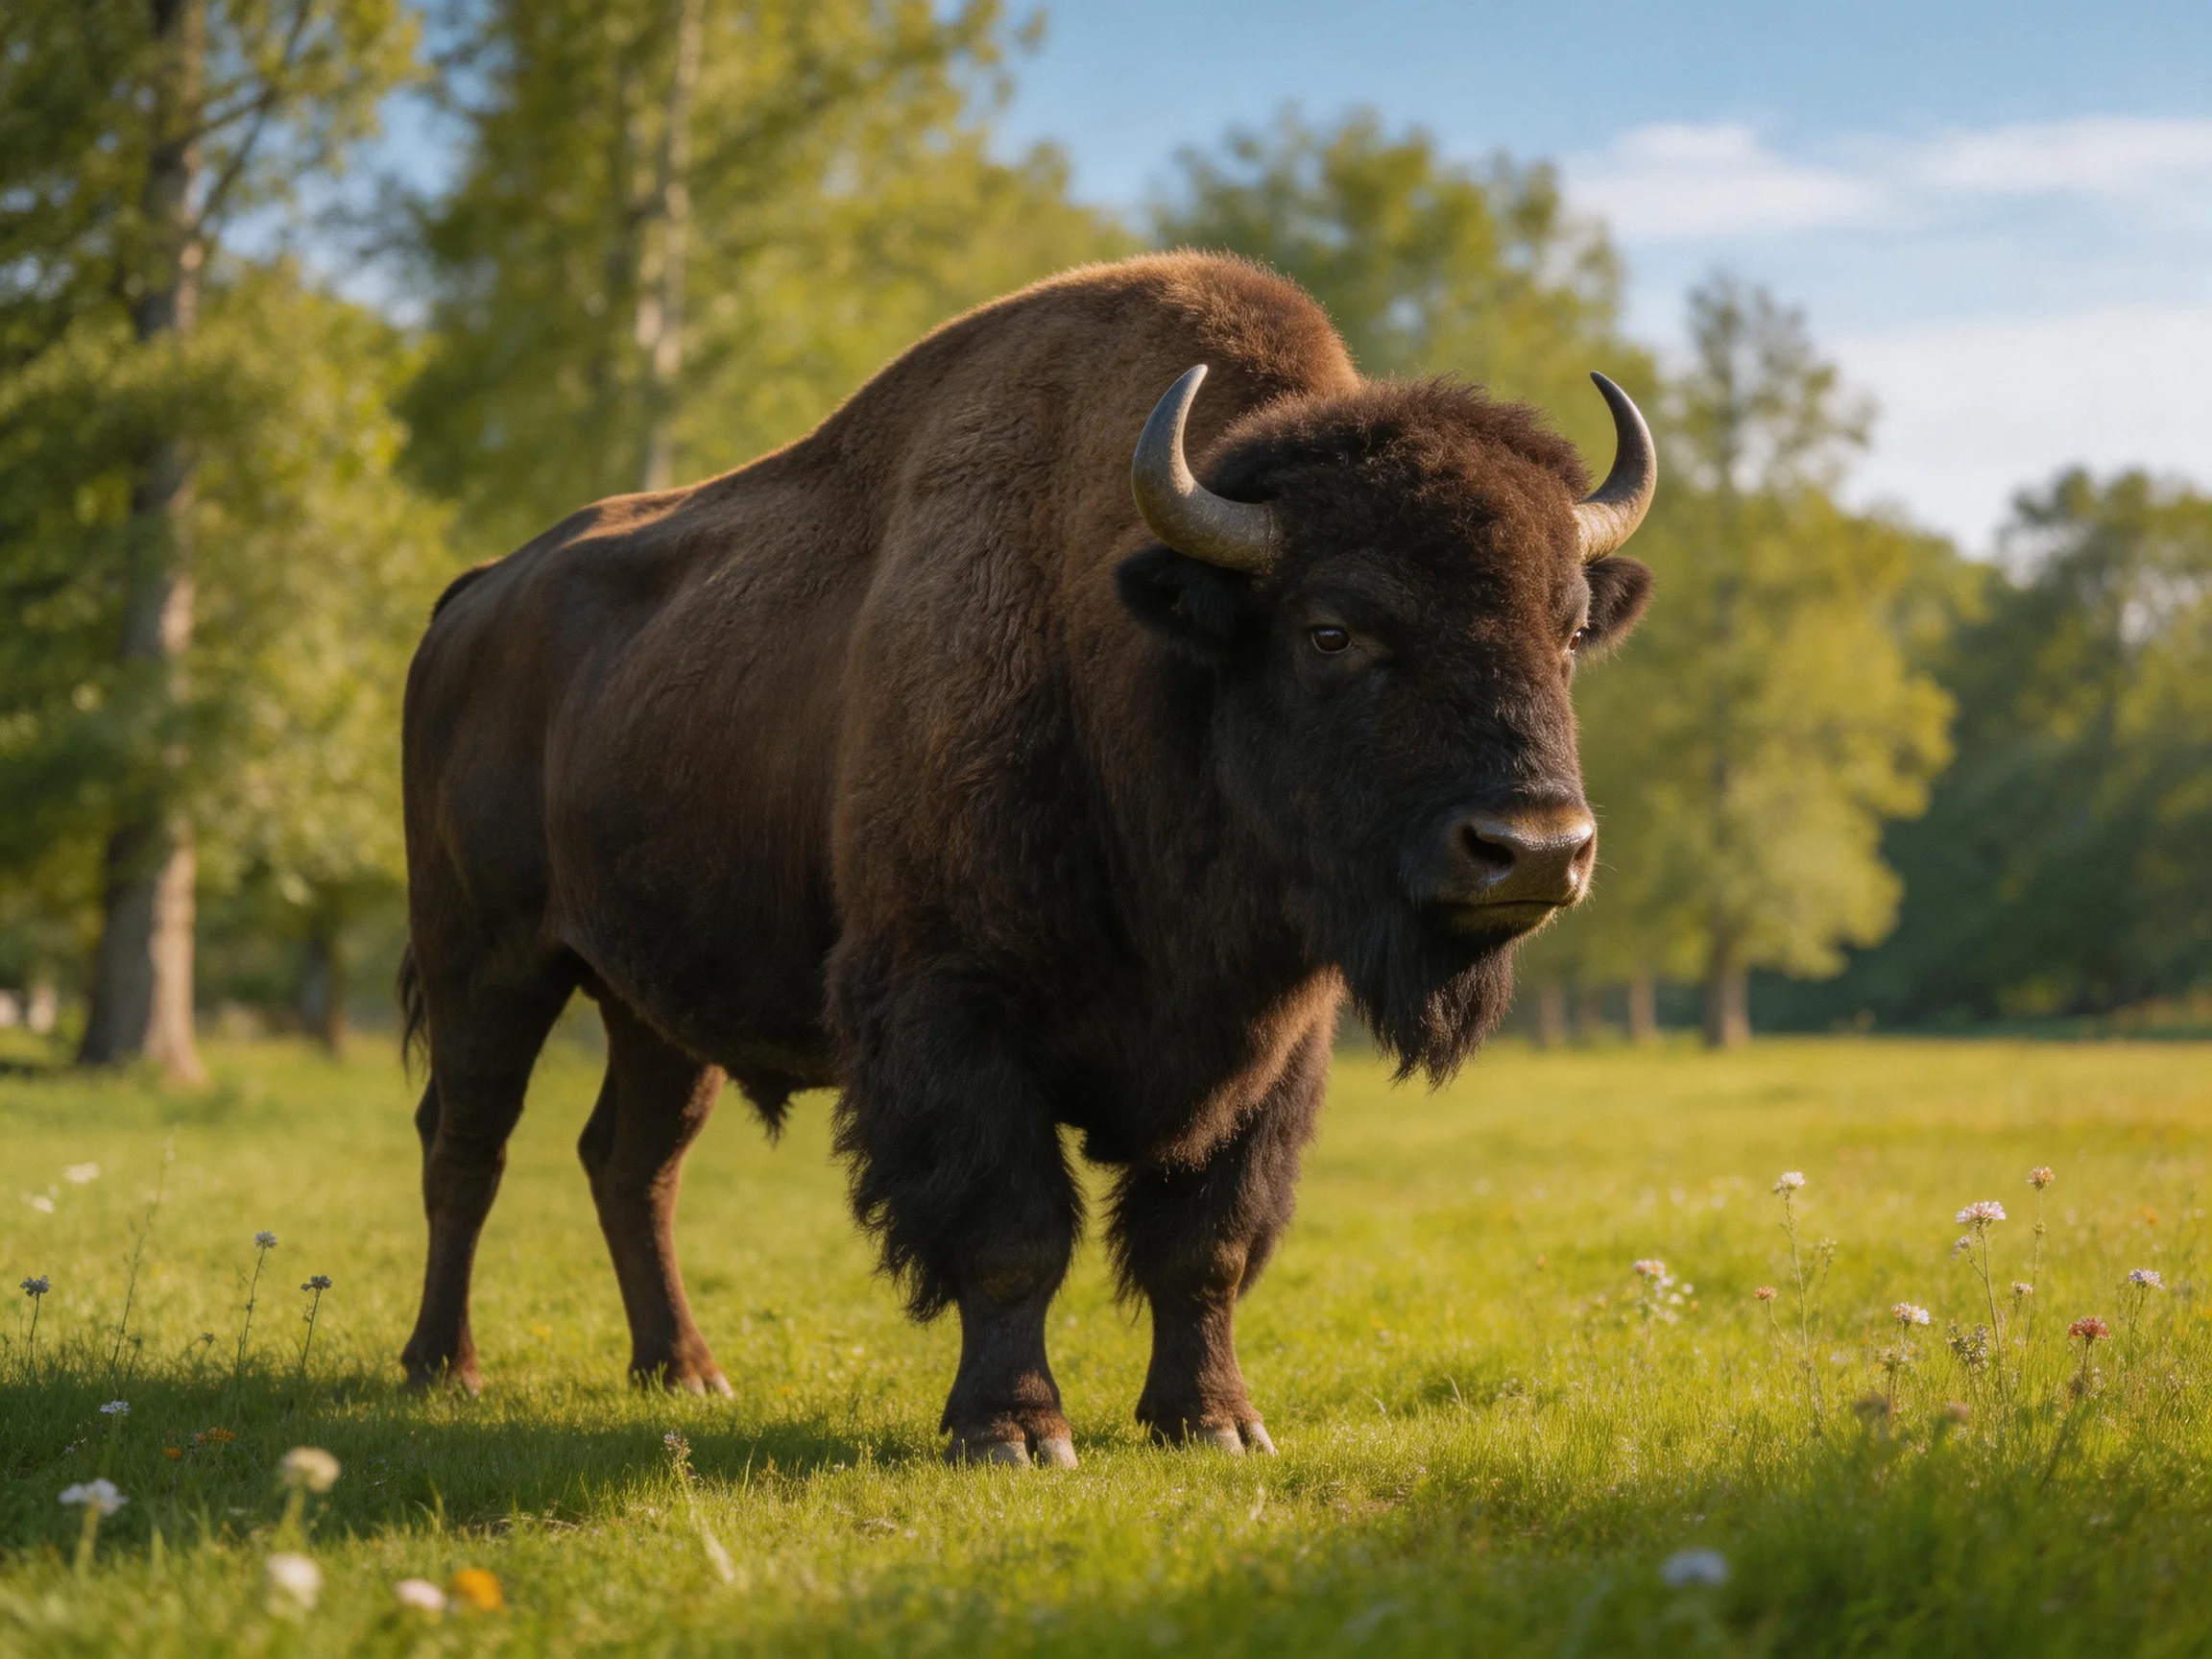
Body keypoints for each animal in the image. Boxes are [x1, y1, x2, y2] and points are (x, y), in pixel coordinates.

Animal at [396, 252, 1654, 1464]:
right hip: (488, 964)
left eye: (1566, 629)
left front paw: (1215, 1423)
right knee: (467, 1144)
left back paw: (685, 1372)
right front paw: (1013, 1432)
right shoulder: (952, 1008)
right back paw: (442, 1369)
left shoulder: (1272, 1046)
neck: (1134, 658)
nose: (1534, 849)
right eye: (1331, 630)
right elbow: (1013, 1236)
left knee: (633, 1161)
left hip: (655, 1005)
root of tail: (473, 599)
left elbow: (1207, 1241)